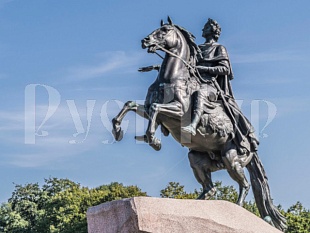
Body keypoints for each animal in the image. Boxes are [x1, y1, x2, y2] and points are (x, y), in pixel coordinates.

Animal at [111, 17, 286, 231]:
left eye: (165, 30)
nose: (145, 41)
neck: (170, 78)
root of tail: (253, 147)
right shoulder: (148, 108)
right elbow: (131, 105)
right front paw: (118, 130)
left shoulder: (177, 110)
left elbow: (156, 109)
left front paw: (154, 139)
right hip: (196, 158)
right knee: (210, 189)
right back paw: (196, 204)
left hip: (231, 158)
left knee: (244, 185)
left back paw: (237, 209)